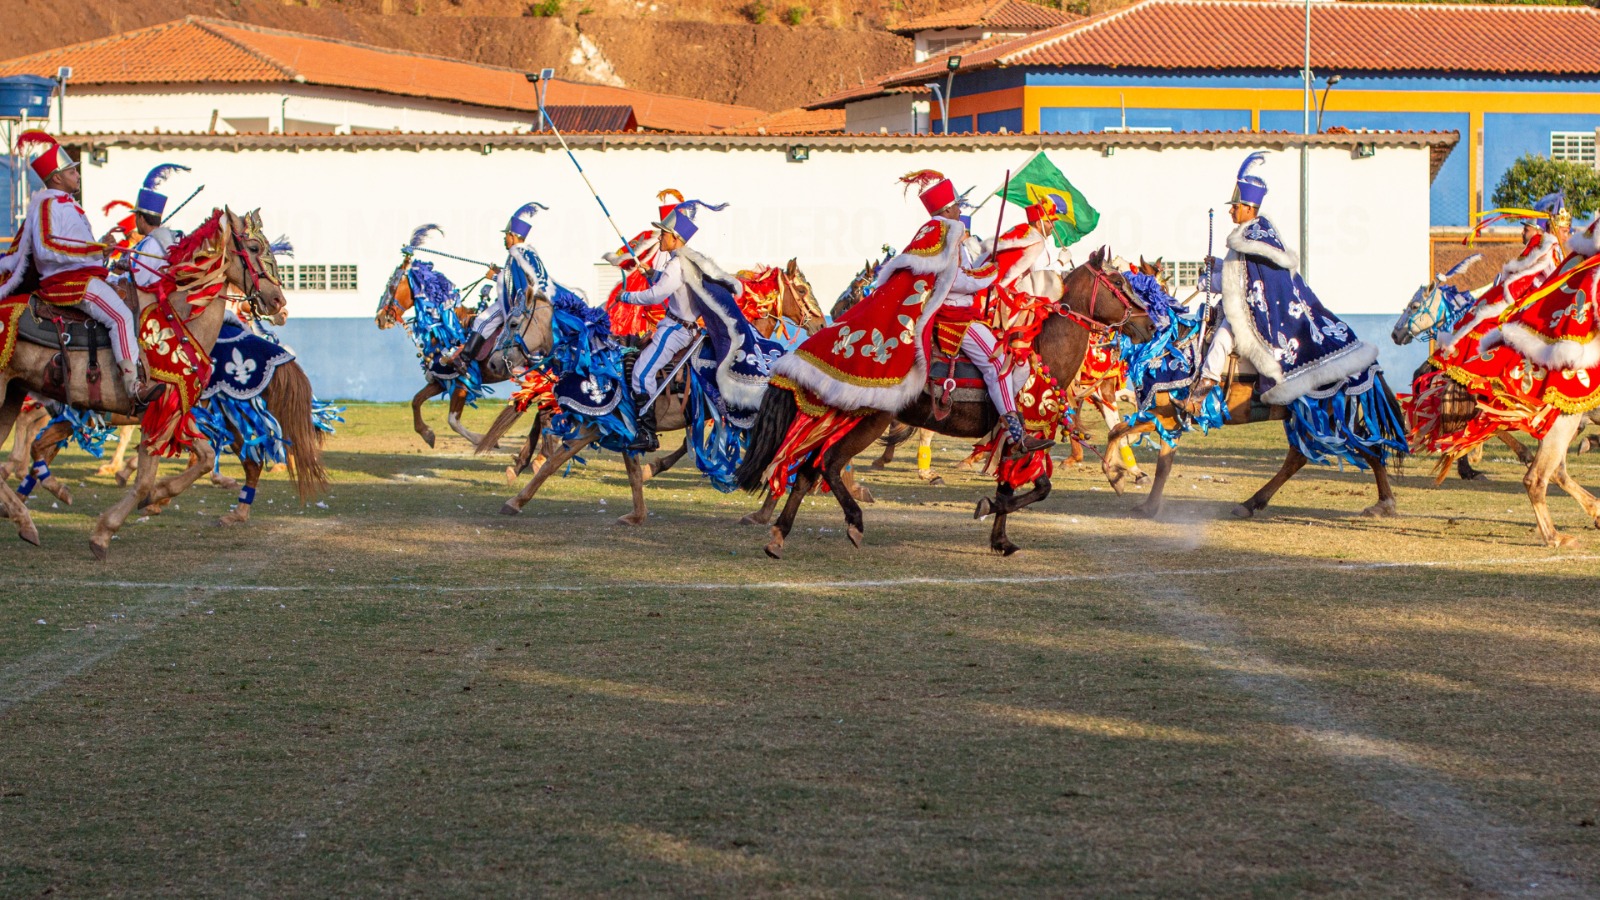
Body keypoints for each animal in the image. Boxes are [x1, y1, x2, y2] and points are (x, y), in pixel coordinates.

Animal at [0, 206, 288, 554]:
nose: (278, 301)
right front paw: (105, 531)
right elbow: (146, 480)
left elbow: (203, 458)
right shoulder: (159, 408)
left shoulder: (173, 410)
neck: (179, 319)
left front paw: (156, 496)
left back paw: (24, 519)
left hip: (12, 394)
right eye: (255, 247)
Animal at [736, 246, 1152, 554]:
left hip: (843, 417)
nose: (1149, 323)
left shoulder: (1013, 440)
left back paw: (779, 535)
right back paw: (853, 522)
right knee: (830, 465)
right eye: (1118, 281)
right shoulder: (1026, 435)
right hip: (870, 421)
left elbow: (1017, 487)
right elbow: (1036, 489)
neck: (1043, 353)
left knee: (807, 471)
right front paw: (988, 511)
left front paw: (1001, 539)